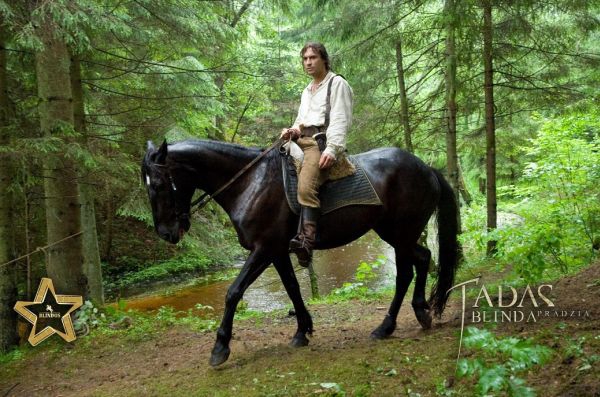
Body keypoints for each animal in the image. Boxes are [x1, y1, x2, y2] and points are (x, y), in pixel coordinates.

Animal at [142, 139, 460, 366]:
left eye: (158, 184)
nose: (166, 233)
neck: (250, 184)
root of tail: (427, 168)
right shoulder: (277, 252)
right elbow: (293, 288)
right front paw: (302, 331)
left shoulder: (263, 249)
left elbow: (233, 292)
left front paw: (220, 348)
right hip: (395, 234)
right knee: (421, 260)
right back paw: (417, 313)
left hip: (400, 234)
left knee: (408, 271)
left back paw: (388, 326)